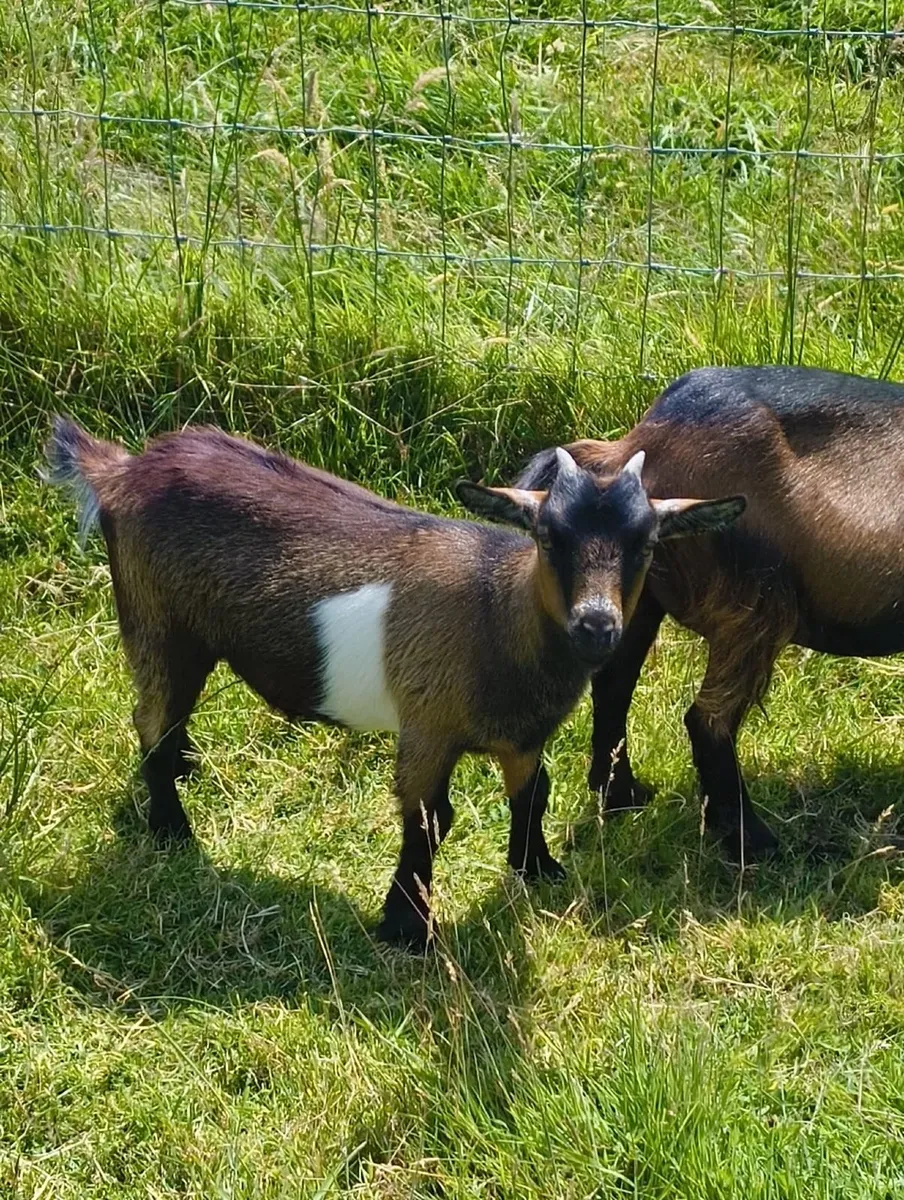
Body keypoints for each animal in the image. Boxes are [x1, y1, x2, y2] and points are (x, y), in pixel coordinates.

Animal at [44, 416, 743, 948]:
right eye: (549, 537)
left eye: (646, 543)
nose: (597, 625)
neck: (495, 614)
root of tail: (121, 470)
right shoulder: (428, 724)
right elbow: (430, 818)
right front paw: (407, 928)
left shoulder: (522, 737)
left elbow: (534, 794)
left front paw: (538, 868)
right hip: (159, 625)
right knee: (152, 720)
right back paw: (172, 829)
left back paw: (186, 772)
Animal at [517, 365, 904, 861]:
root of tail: (632, 445)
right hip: (753, 597)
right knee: (706, 720)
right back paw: (754, 842)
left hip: (642, 589)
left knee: (613, 685)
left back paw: (623, 797)